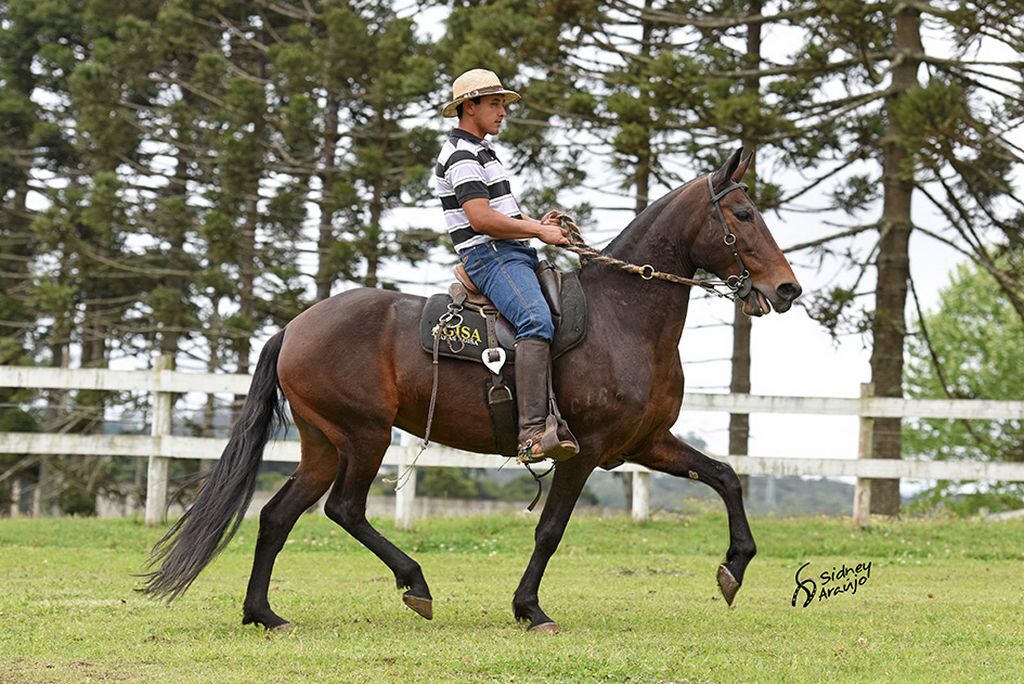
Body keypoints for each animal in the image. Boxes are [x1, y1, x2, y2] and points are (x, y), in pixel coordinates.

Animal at [142, 147, 798, 634]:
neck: (623, 318)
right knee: (344, 509)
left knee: (278, 516)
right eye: (743, 215)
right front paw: (530, 609)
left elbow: (725, 477)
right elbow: (550, 530)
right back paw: (414, 584)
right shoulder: (583, 451)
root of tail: (295, 327)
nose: (787, 289)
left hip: (323, 444)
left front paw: (735, 567)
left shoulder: (646, 444)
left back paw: (264, 614)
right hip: (364, 435)